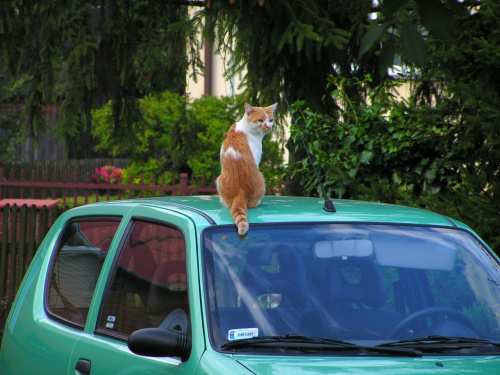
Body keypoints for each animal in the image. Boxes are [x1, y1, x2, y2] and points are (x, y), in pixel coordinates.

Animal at [216, 102, 278, 238]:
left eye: (271, 120)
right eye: (261, 120)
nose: (268, 126)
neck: (244, 127)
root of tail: (241, 191)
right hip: (260, 178)